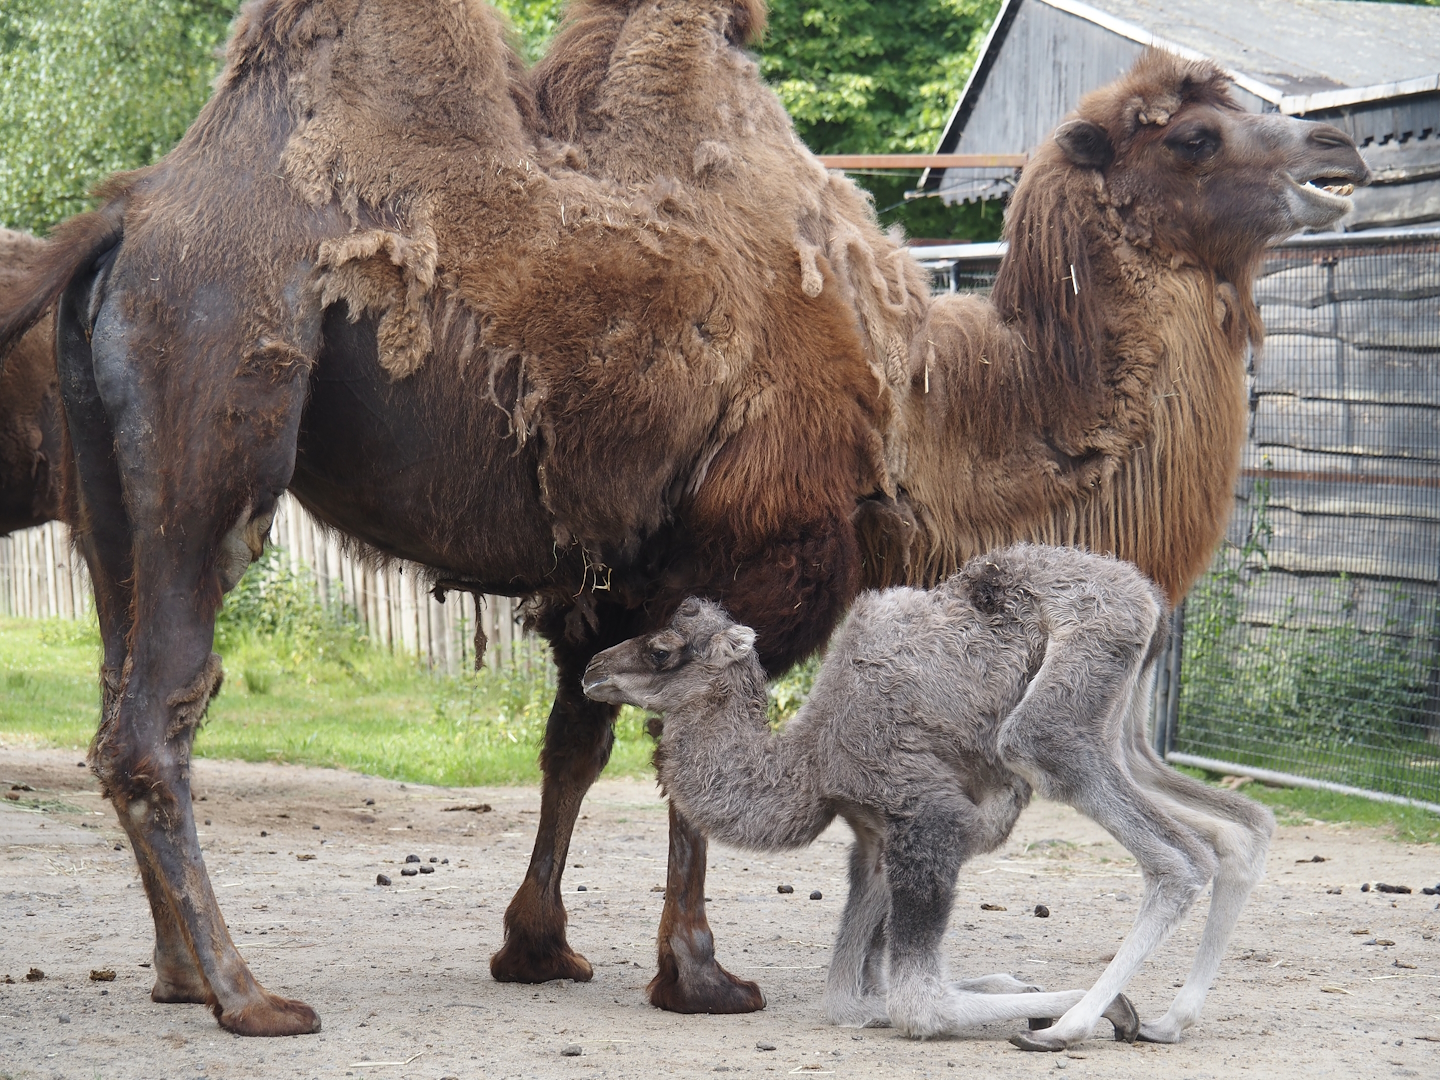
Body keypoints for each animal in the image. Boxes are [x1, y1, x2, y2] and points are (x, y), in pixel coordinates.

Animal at [582, 545, 1276, 1049]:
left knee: (1176, 857)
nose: (591, 669)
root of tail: (1150, 597)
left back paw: (1072, 1026)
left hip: (1062, 704)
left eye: (662, 650)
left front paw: (1071, 1008)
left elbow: (916, 999)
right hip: (1124, 727)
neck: (809, 761)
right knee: (1242, 827)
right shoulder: (872, 841)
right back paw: (1167, 1020)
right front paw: (1016, 983)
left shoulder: (924, 816)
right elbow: (850, 992)